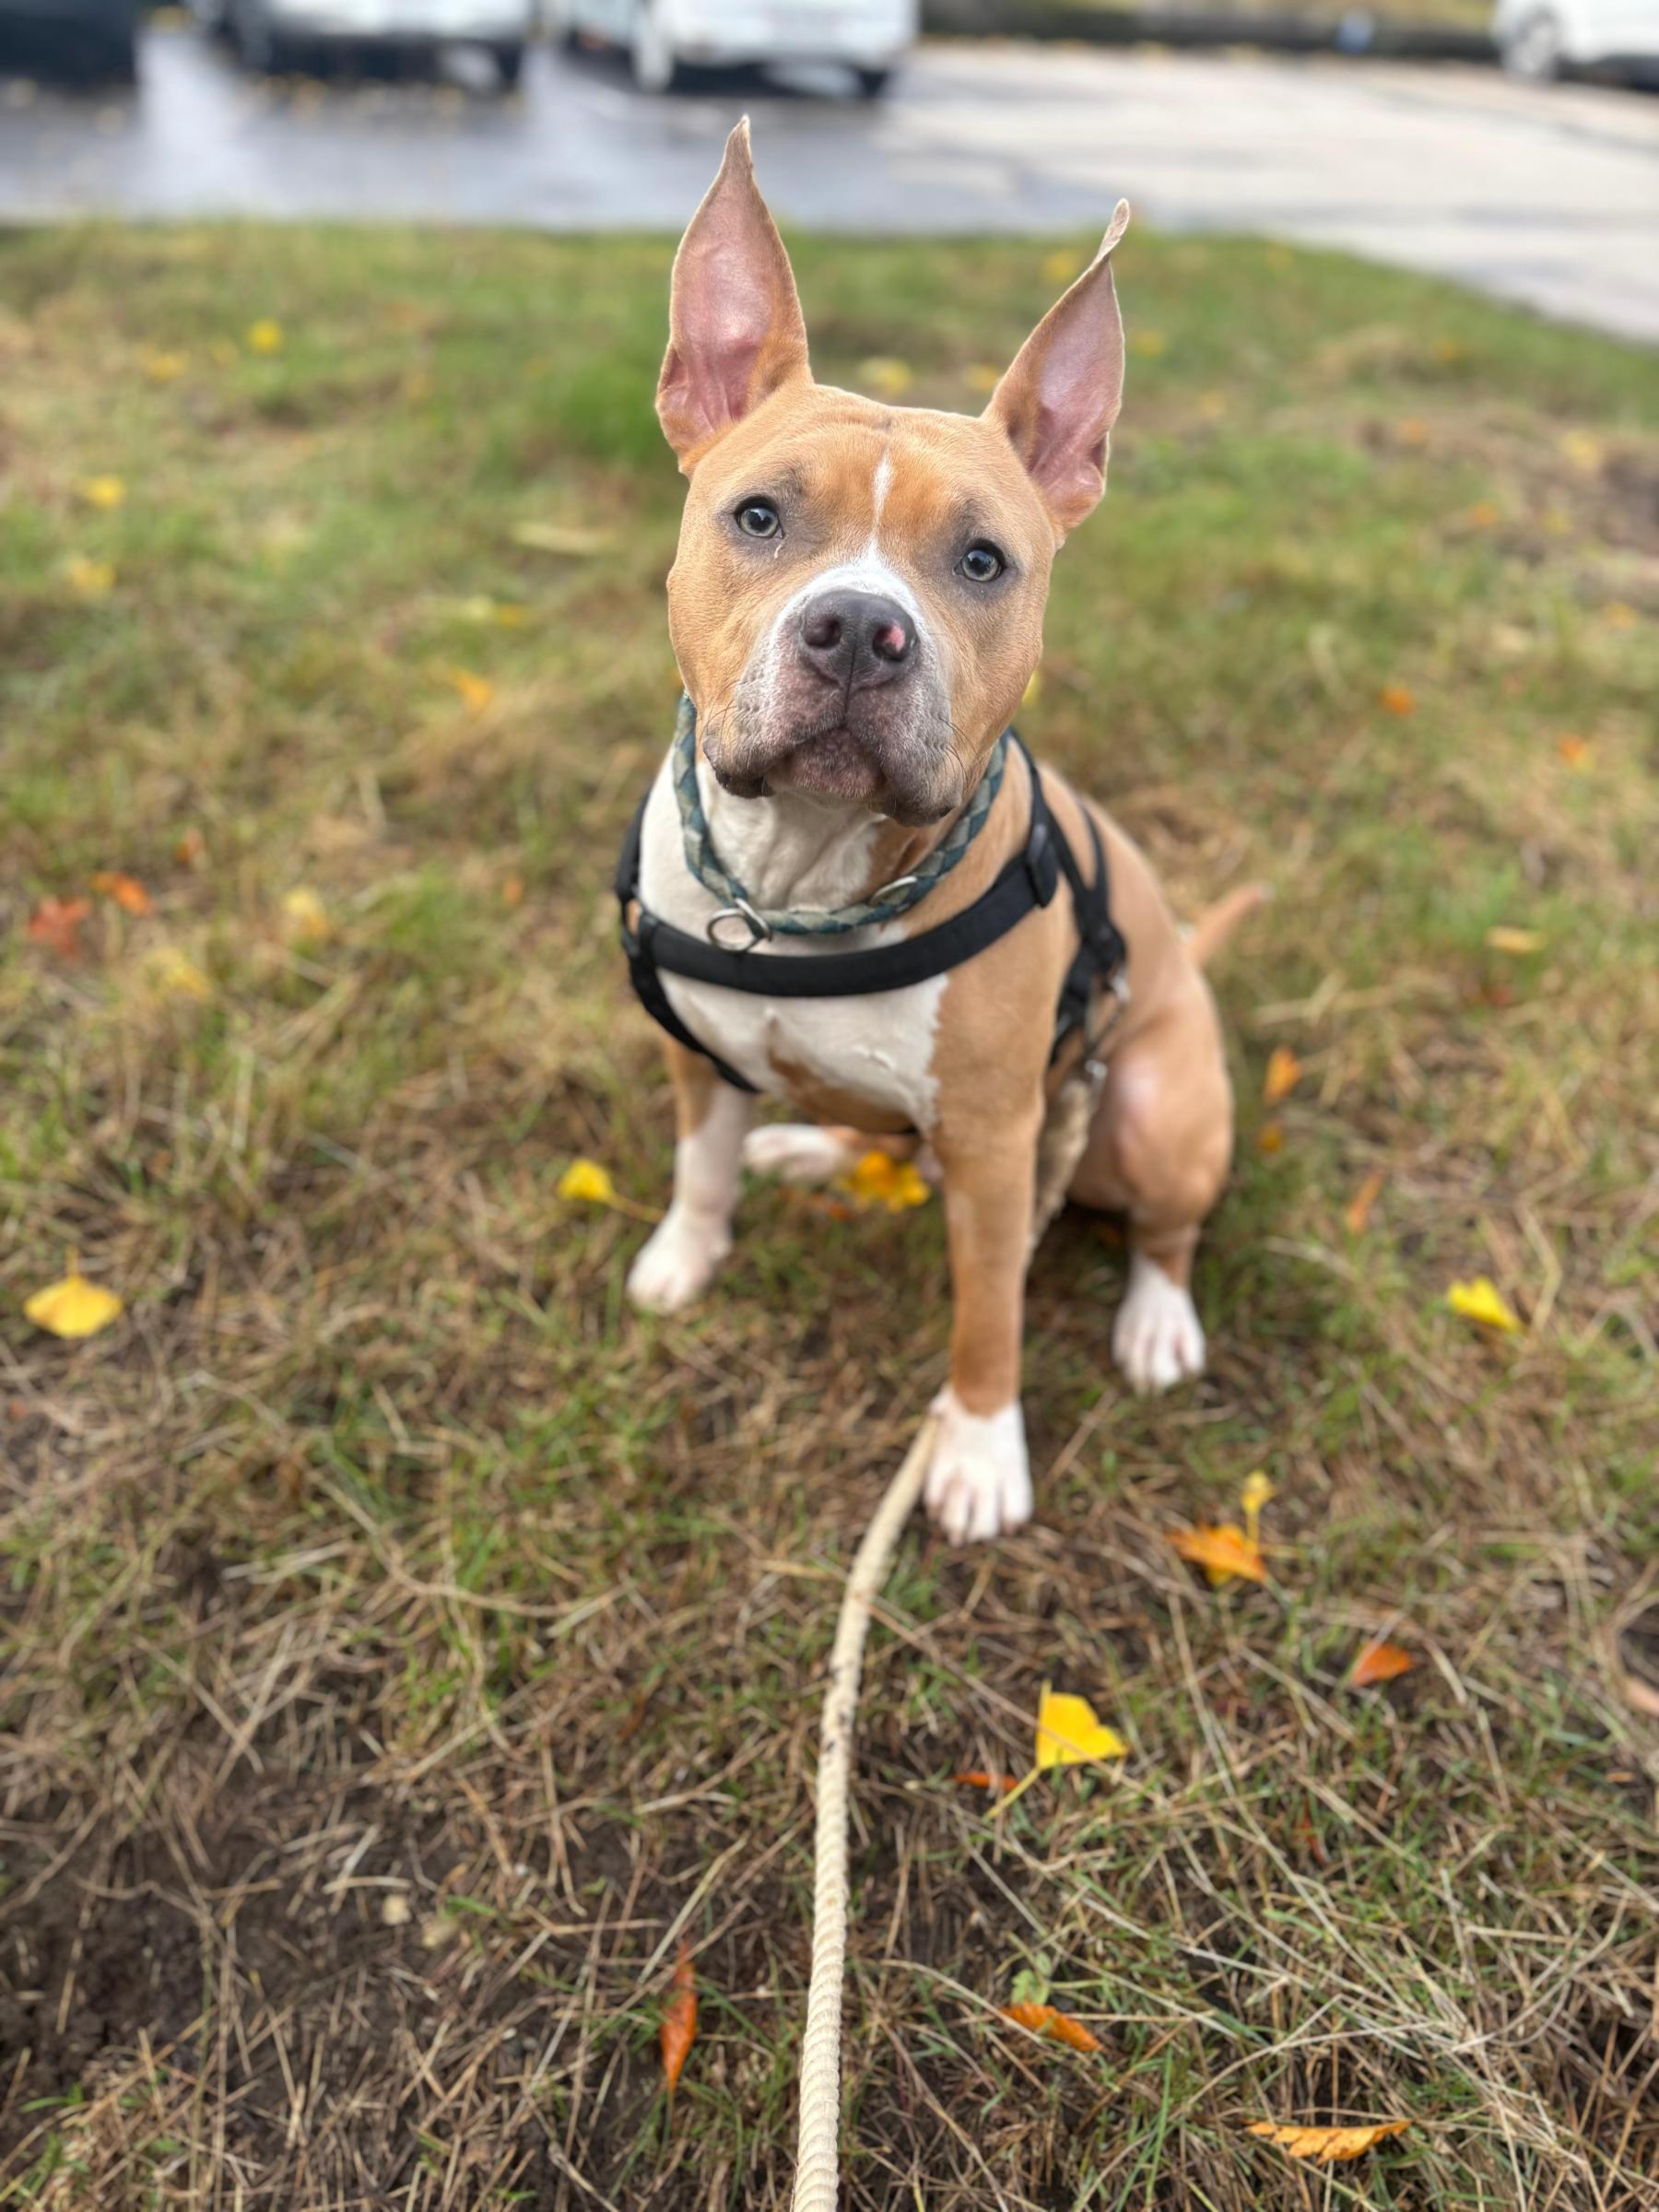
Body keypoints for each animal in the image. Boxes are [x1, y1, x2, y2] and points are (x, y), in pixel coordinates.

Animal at [620, 122, 1257, 1544]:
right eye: (757, 516)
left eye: (982, 562)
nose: (860, 628)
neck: (800, 882)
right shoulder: (693, 1055)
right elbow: (697, 1166)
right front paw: (685, 1255)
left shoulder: (997, 1145)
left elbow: (988, 1315)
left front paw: (975, 1449)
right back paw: (808, 1141)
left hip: (1152, 1106)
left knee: (1166, 1229)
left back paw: (1157, 1322)